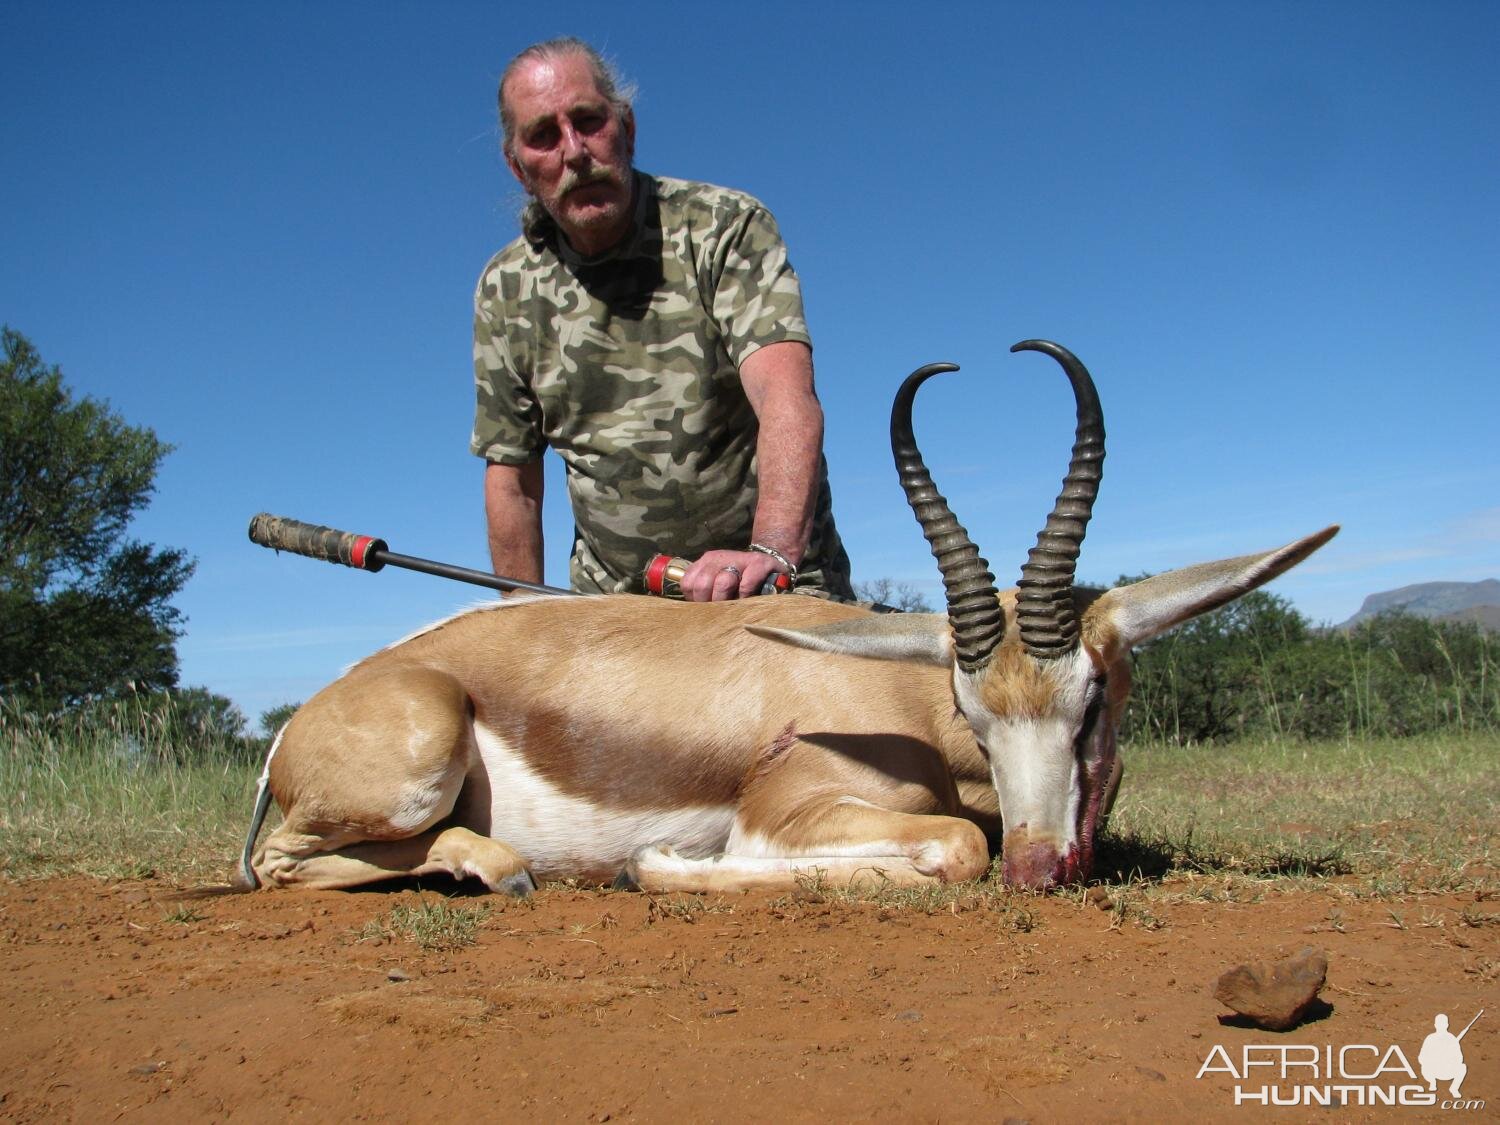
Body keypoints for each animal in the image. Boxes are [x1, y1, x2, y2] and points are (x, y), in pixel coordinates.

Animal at [237, 339, 1338, 894]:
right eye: (972, 710)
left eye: (1095, 698)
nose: (1038, 868)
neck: (899, 705)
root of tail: (293, 731)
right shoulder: (789, 813)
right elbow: (952, 846)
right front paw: (661, 864)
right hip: (417, 764)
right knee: (277, 867)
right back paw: (502, 870)